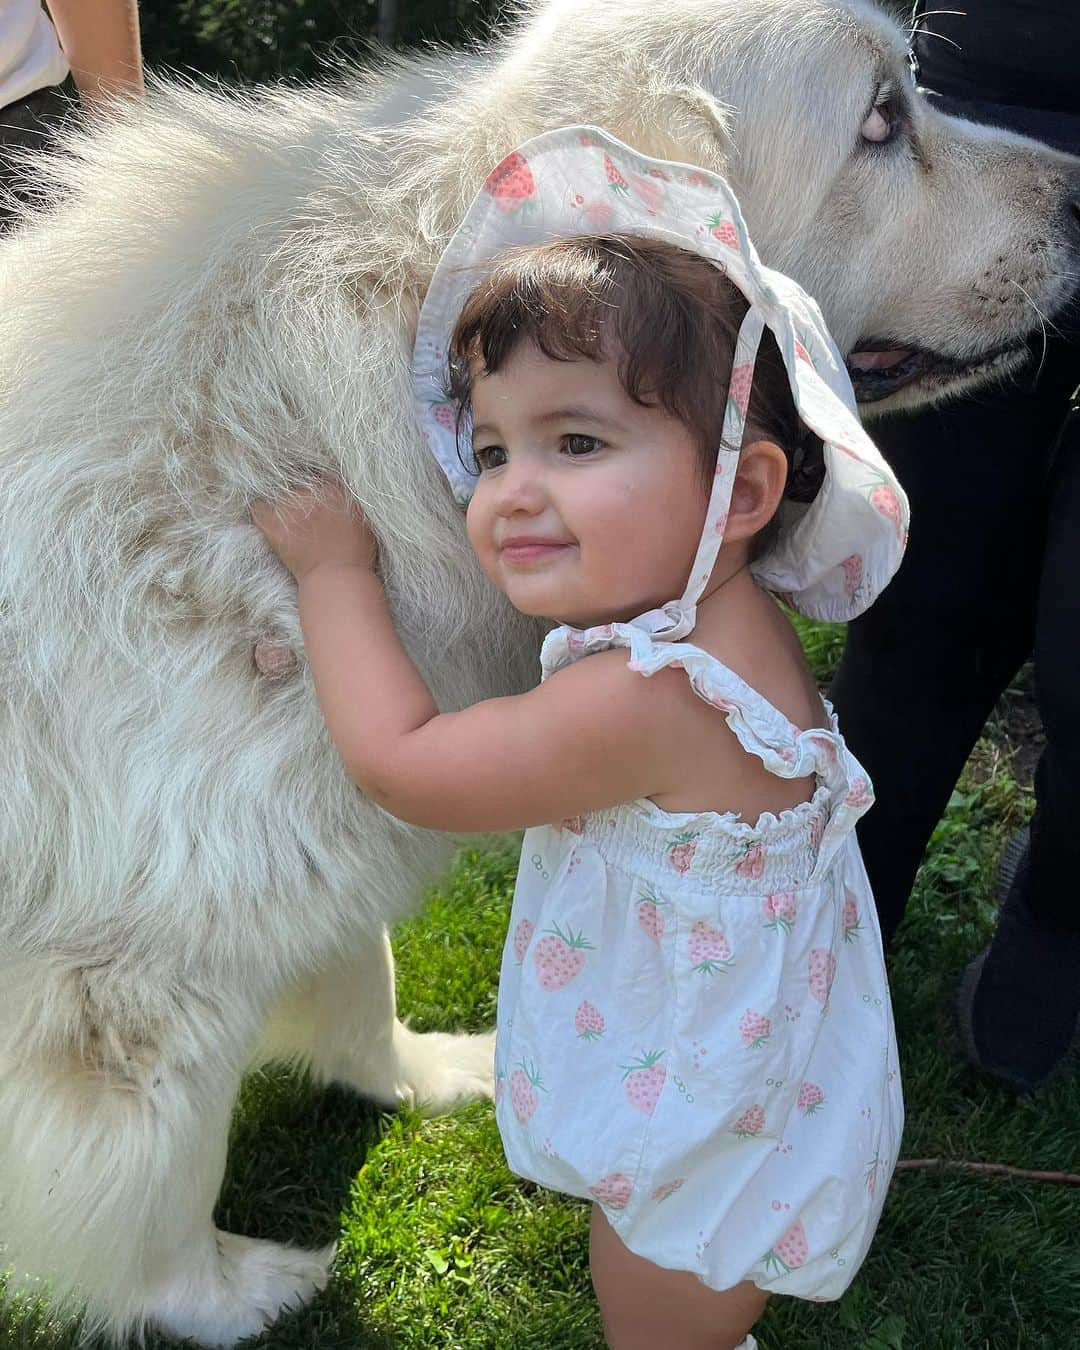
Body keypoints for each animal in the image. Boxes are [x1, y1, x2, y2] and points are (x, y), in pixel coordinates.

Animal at [0, 0, 1074, 1339]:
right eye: (883, 121)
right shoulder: (132, 990)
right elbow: (155, 1190)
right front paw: (225, 1299)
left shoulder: (322, 834)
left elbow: (358, 977)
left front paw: (419, 1077)